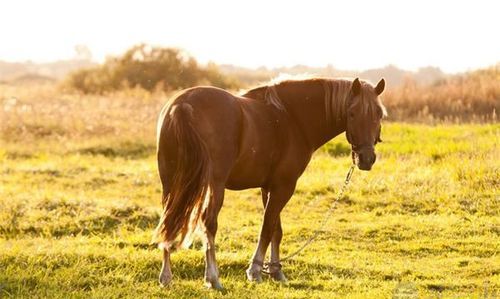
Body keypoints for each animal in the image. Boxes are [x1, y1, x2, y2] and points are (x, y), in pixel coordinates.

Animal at [152, 76, 386, 290]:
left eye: (378, 113)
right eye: (352, 113)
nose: (366, 159)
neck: (292, 119)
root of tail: (182, 106)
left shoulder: (269, 187)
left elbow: (276, 229)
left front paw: (275, 271)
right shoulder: (284, 186)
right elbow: (267, 227)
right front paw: (255, 271)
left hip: (171, 182)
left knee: (168, 219)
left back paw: (166, 277)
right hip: (214, 185)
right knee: (208, 223)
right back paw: (213, 278)